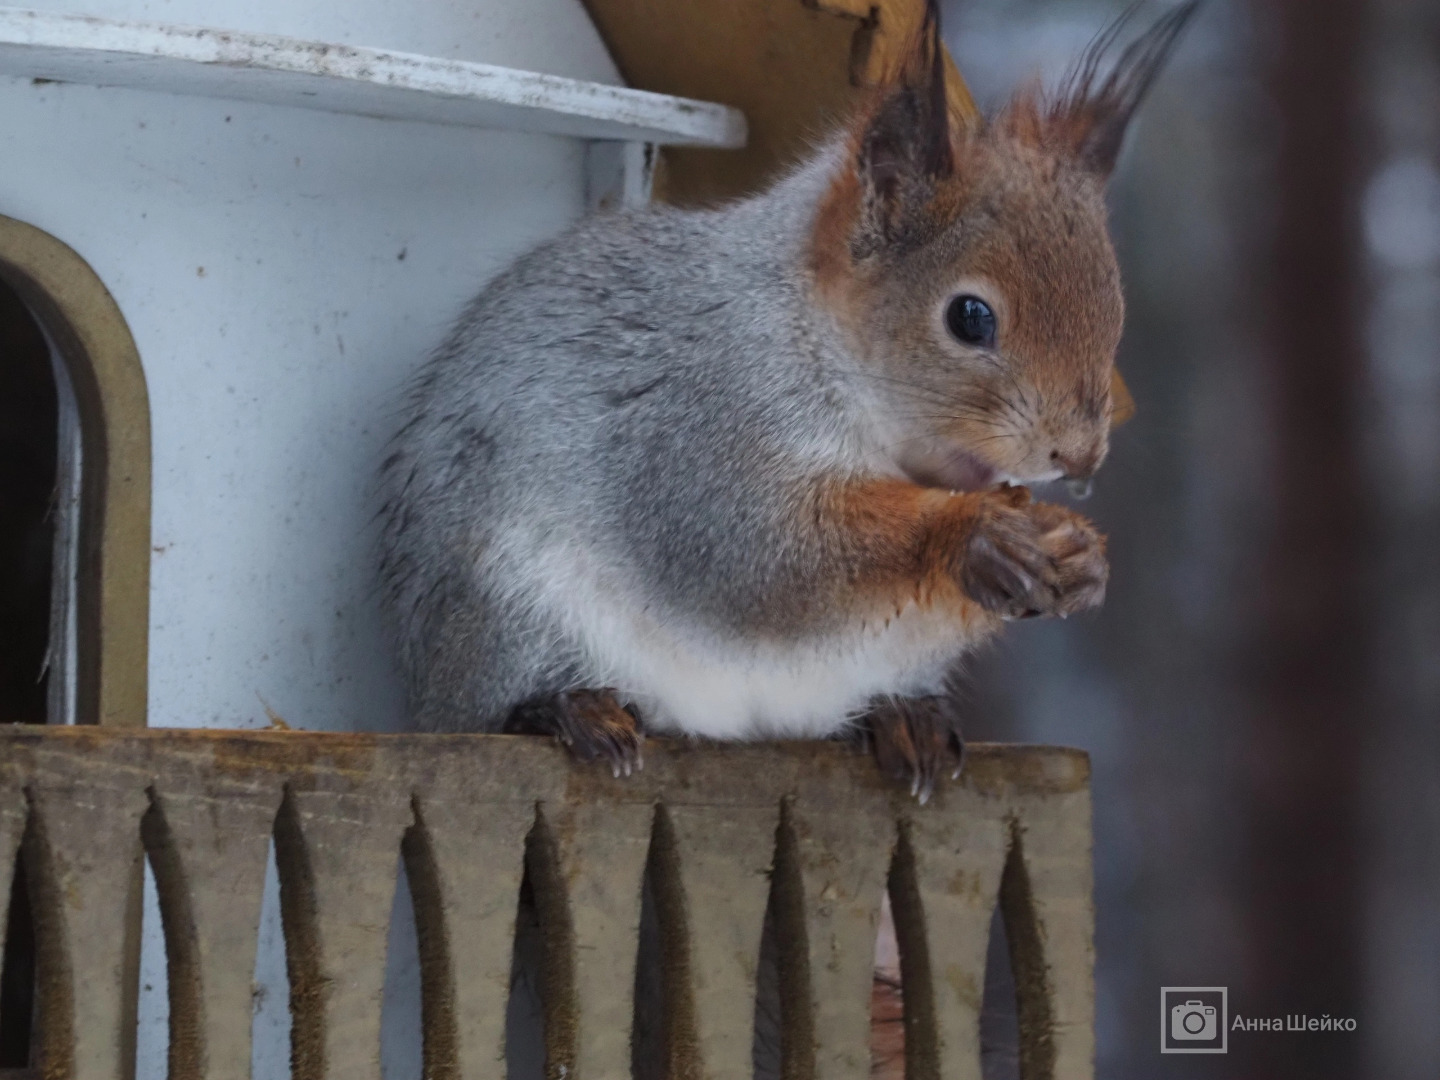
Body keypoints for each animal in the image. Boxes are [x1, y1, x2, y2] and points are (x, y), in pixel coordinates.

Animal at [377, 0, 1198, 794]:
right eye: (970, 317)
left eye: (1115, 308)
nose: (1079, 456)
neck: (816, 340)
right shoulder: (703, 421)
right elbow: (767, 553)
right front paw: (974, 535)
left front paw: (1084, 558)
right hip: (506, 612)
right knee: (497, 702)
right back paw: (566, 708)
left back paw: (903, 718)